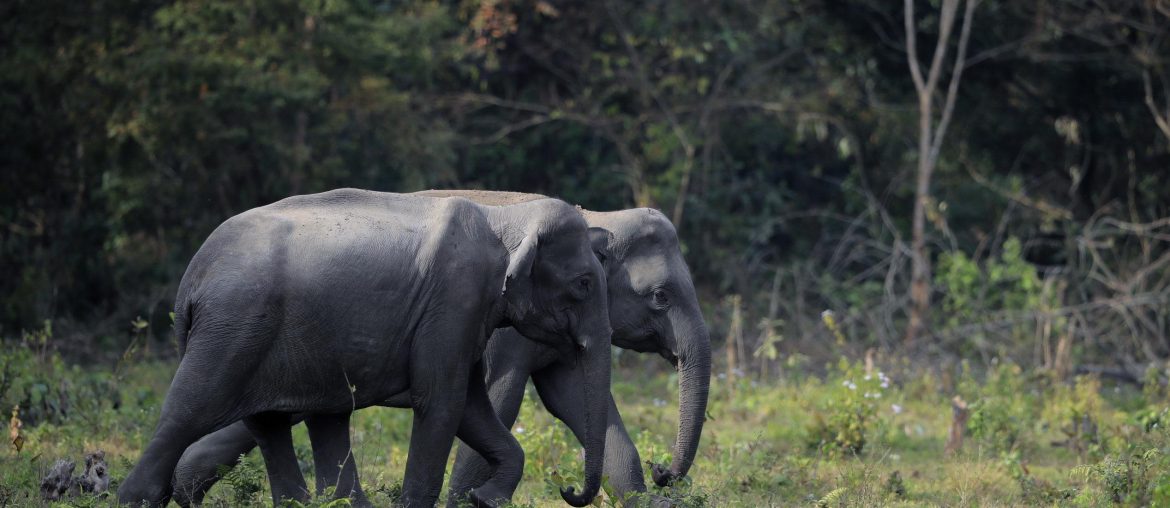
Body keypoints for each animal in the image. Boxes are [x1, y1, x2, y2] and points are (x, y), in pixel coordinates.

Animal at [168, 189, 706, 503]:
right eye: (660, 296)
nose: (664, 471)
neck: (597, 215)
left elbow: (573, 401)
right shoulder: (497, 328)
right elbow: (501, 398)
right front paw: (470, 499)